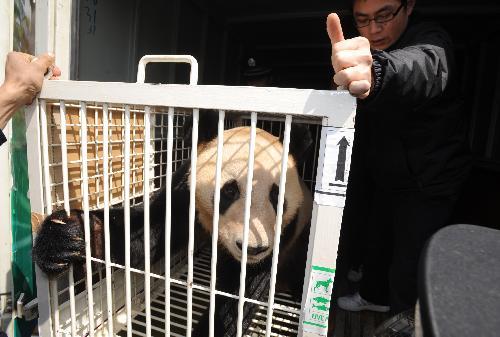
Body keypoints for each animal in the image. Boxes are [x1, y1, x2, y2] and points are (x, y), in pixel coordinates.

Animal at [33, 113, 310, 336]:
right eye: (230, 191)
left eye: (277, 196)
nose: (254, 248)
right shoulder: (186, 193)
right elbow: (145, 231)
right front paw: (65, 237)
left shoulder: (286, 228)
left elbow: (240, 291)